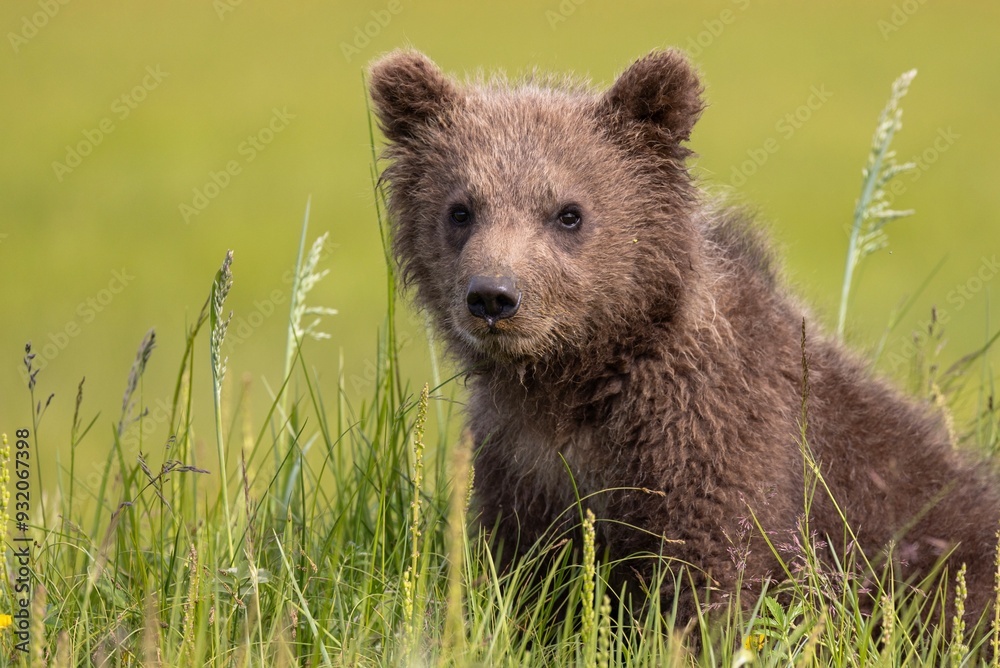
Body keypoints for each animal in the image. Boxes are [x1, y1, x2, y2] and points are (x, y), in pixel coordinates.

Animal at [368, 49, 1000, 629]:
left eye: (569, 212)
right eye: (461, 210)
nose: (494, 297)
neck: (581, 372)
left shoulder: (718, 435)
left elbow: (715, 576)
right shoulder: (522, 459)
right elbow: (526, 577)